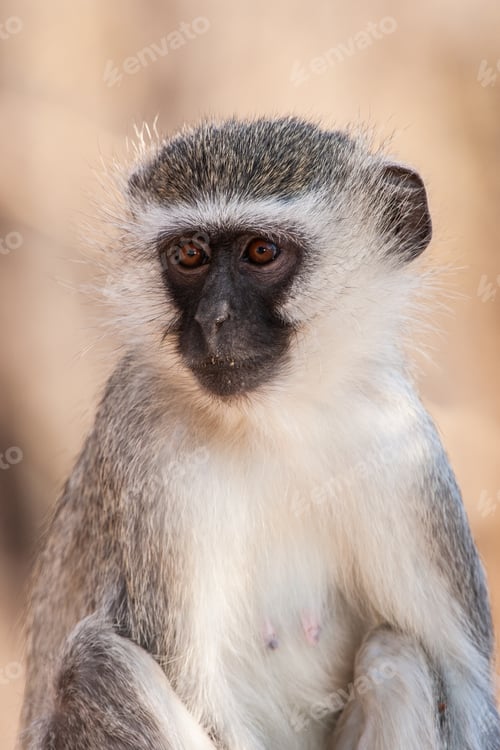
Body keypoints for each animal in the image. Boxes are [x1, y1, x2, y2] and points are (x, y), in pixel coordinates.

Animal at [17, 116, 500, 749]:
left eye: (260, 251)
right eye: (190, 255)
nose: (212, 319)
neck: (274, 420)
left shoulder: (401, 447)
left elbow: (463, 681)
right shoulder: (148, 447)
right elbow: (196, 690)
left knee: (396, 655)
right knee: (99, 667)